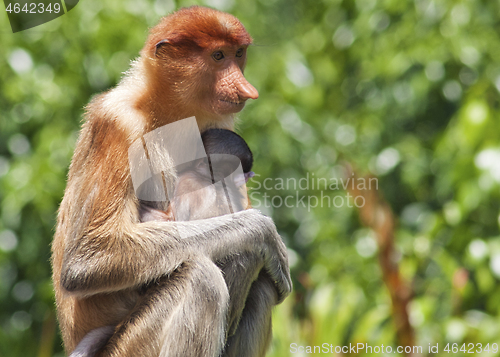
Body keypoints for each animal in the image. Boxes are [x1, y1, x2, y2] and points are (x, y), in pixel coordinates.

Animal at [52, 5, 292, 356]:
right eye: (218, 56)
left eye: (238, 54)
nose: (247, 90)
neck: (166, 110)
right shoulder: (118, 123)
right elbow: (87, 260)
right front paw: (262, 231)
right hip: (128, 346)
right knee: (202, 278)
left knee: (258, 285)